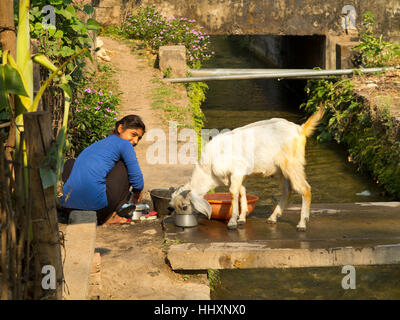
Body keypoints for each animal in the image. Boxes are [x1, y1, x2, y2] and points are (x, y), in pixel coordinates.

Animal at [170, 109, 324, 231]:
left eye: (184, 206)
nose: (182, 225)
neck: (208, 170)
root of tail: (300, 129)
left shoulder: (236, 172)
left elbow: (233, 192)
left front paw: (232, 222)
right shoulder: (241, 175)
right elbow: (242, 192)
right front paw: (242, 218)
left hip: (292, 164)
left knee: (305, 188)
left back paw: (302, 224)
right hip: (281, 169)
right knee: (287, 190)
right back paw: (273, 217)